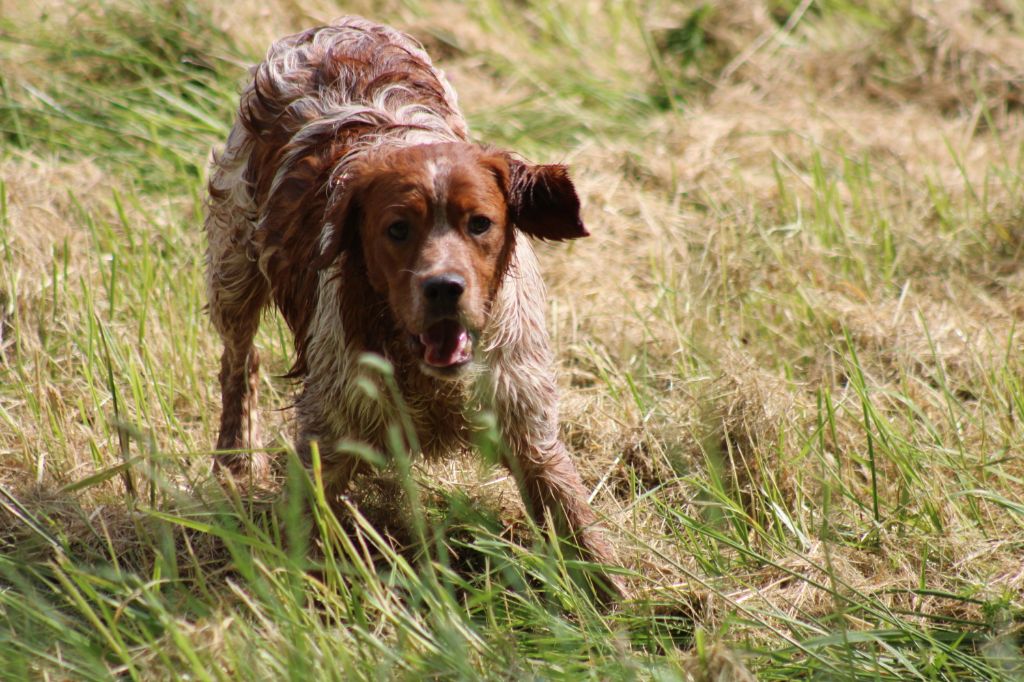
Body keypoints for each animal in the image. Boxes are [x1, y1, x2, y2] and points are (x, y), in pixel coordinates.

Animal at [205, 15, 622, 593]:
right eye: (397, 229)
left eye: (480, 223)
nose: (444, 287)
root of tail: (335, 26)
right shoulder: (330, 434)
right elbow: (306, 524)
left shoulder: (526, 422)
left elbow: (576, 522)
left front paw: (622, 599)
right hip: (233, 267)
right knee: (238, 361)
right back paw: (233, 461)